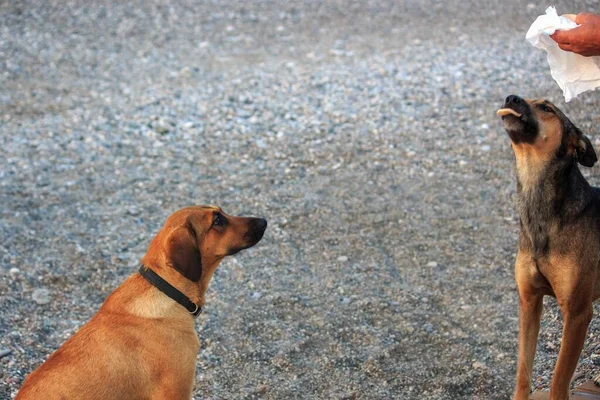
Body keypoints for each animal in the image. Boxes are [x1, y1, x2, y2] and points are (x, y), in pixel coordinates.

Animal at [500, 94, 600, 400]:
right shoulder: (529, 302)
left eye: (547, 108)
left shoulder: (578, 313)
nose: (510, 97)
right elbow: (523, 372)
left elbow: (558, 380)